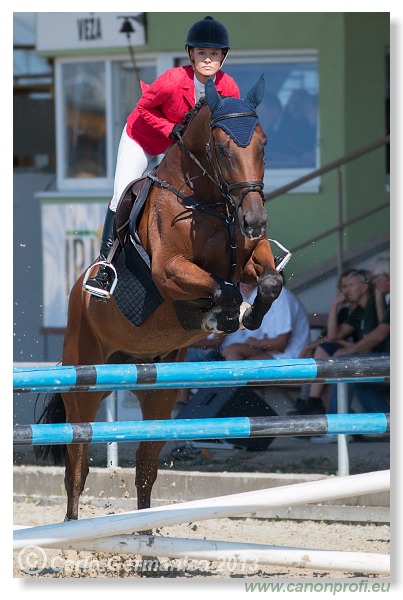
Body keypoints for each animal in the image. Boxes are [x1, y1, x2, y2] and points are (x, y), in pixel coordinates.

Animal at [35, 77, 284, 520]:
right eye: (222, 148)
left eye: (263, 144)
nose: (255, 221)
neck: (208, 200)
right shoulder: (169, 271)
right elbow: (221, 288)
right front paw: (222, 315)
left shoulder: (249, 257)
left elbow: (269, 282)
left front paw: (249, 315)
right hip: (84, 385)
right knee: (76, 469)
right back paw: (69, 527)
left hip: (157, 393)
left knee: (145, 469)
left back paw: (144, 530)